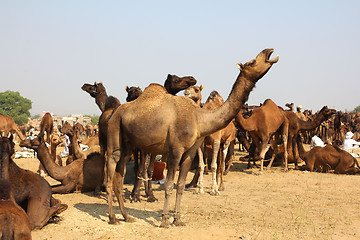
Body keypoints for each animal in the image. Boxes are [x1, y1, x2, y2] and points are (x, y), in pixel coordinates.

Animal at [105, 48, 280, 227]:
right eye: (252, 62)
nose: (269, 51)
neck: (199, 118)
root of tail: (115, 113)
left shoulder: (190, 151)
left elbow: (181, 185)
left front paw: (178, 219)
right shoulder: (175, 150)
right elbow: (169, 185)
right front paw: (165, 220)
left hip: (127, 144)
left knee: (119, 177)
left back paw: (126, 216)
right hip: (115, 134)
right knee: (110, 173)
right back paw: (113, 218)